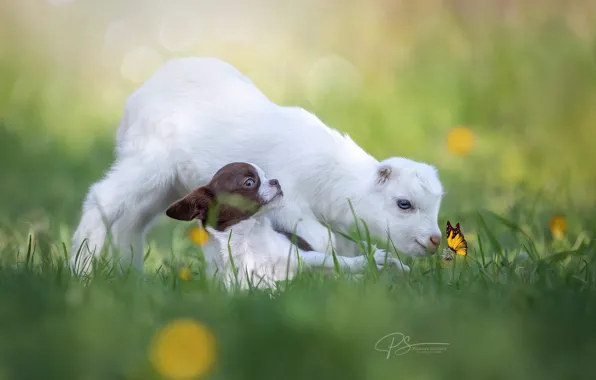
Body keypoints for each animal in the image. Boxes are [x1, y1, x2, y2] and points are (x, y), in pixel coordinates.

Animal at [165, 162, 408, 290]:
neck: (250, 238)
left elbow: (337, 261)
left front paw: (374, 260)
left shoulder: (304, 257)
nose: (276, 180)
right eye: (249, 182)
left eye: (266, 175)